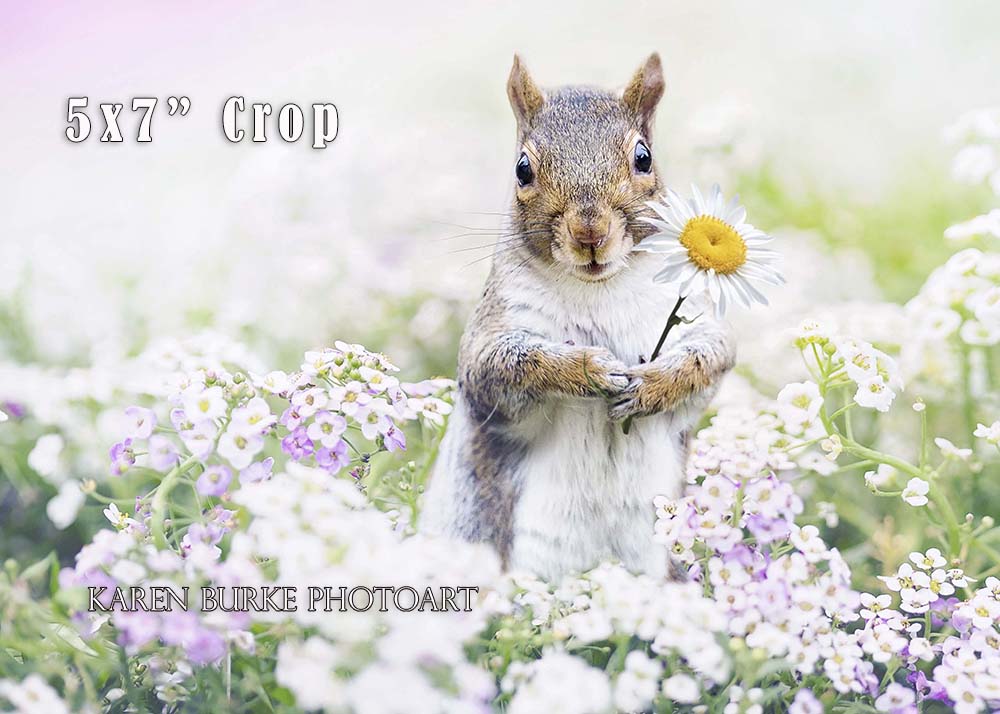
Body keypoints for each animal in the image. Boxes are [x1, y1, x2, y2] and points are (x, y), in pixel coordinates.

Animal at [421, 54, 736, 582]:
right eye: (522, 169)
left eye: (644, 158)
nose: (590, 231)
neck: (598, 288)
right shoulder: (492, 337)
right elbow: (503, 366)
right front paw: (588, 369)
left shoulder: (693, 312)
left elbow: (709, 357)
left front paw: (651, 386)